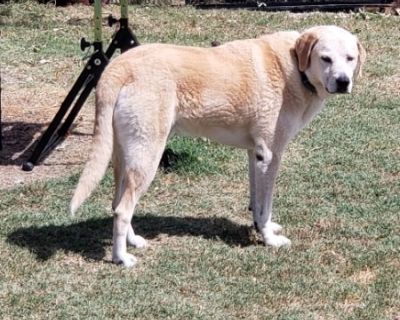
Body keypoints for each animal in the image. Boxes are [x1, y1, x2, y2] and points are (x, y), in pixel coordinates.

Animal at [69, 25, 366, 266]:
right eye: (325, 58)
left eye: (350, 59)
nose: (343, 82)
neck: (294, 65)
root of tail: (117, 67)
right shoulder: (270, 156)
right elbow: (266, 205)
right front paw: (269, 239)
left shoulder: (255, 155)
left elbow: (257, 203)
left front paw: (260, 228)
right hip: (147, 156)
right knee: (122, 209)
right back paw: (122, 258)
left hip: (125, 157)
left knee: (116, 203)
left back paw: (133, 241)